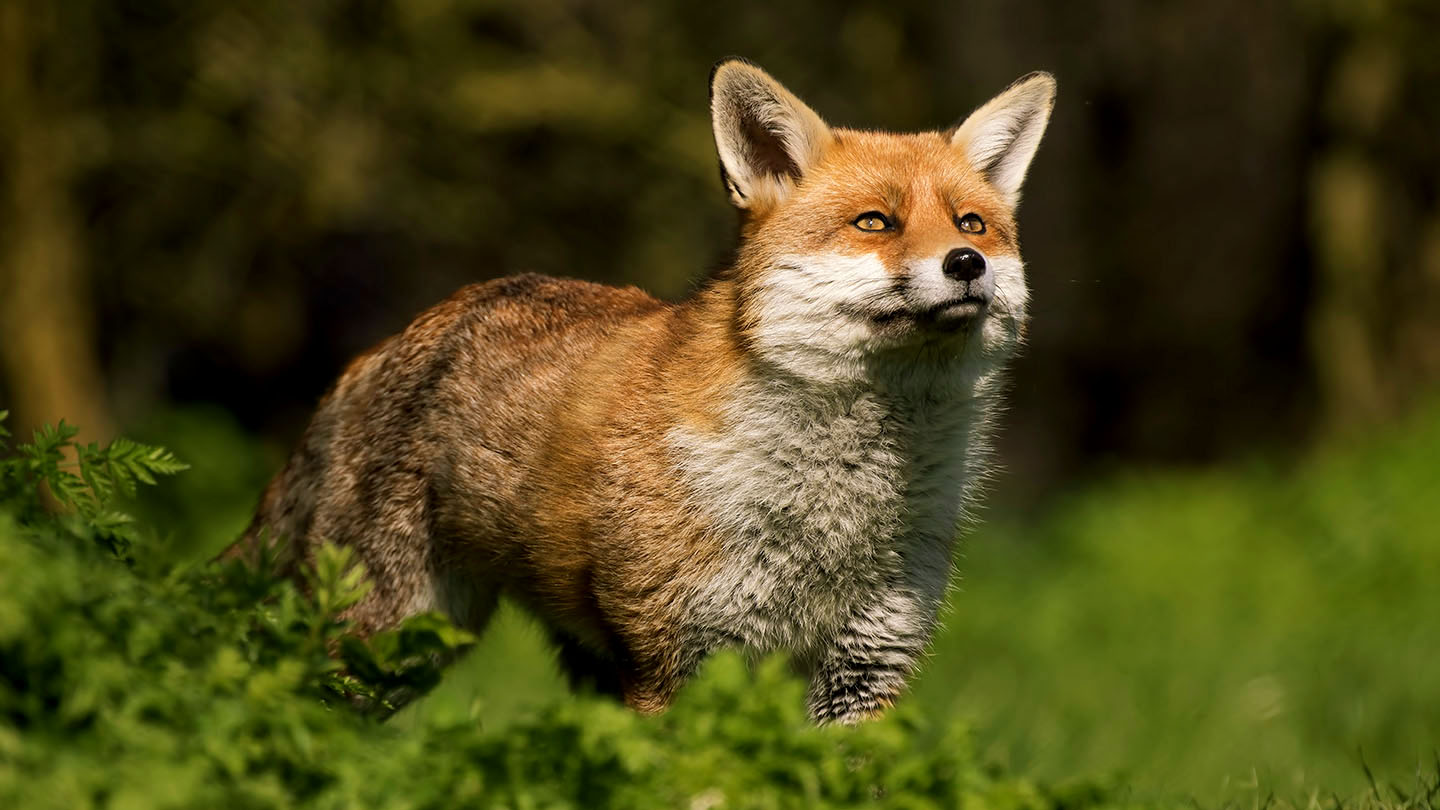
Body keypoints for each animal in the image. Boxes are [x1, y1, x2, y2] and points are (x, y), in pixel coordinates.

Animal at [226, 59, 1056, 725]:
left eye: (972, 224)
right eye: (875, 223)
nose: (965, 265)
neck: (832, 513)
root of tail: (379, 348)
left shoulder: (866, 666)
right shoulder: (675, 659)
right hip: (394, 640)